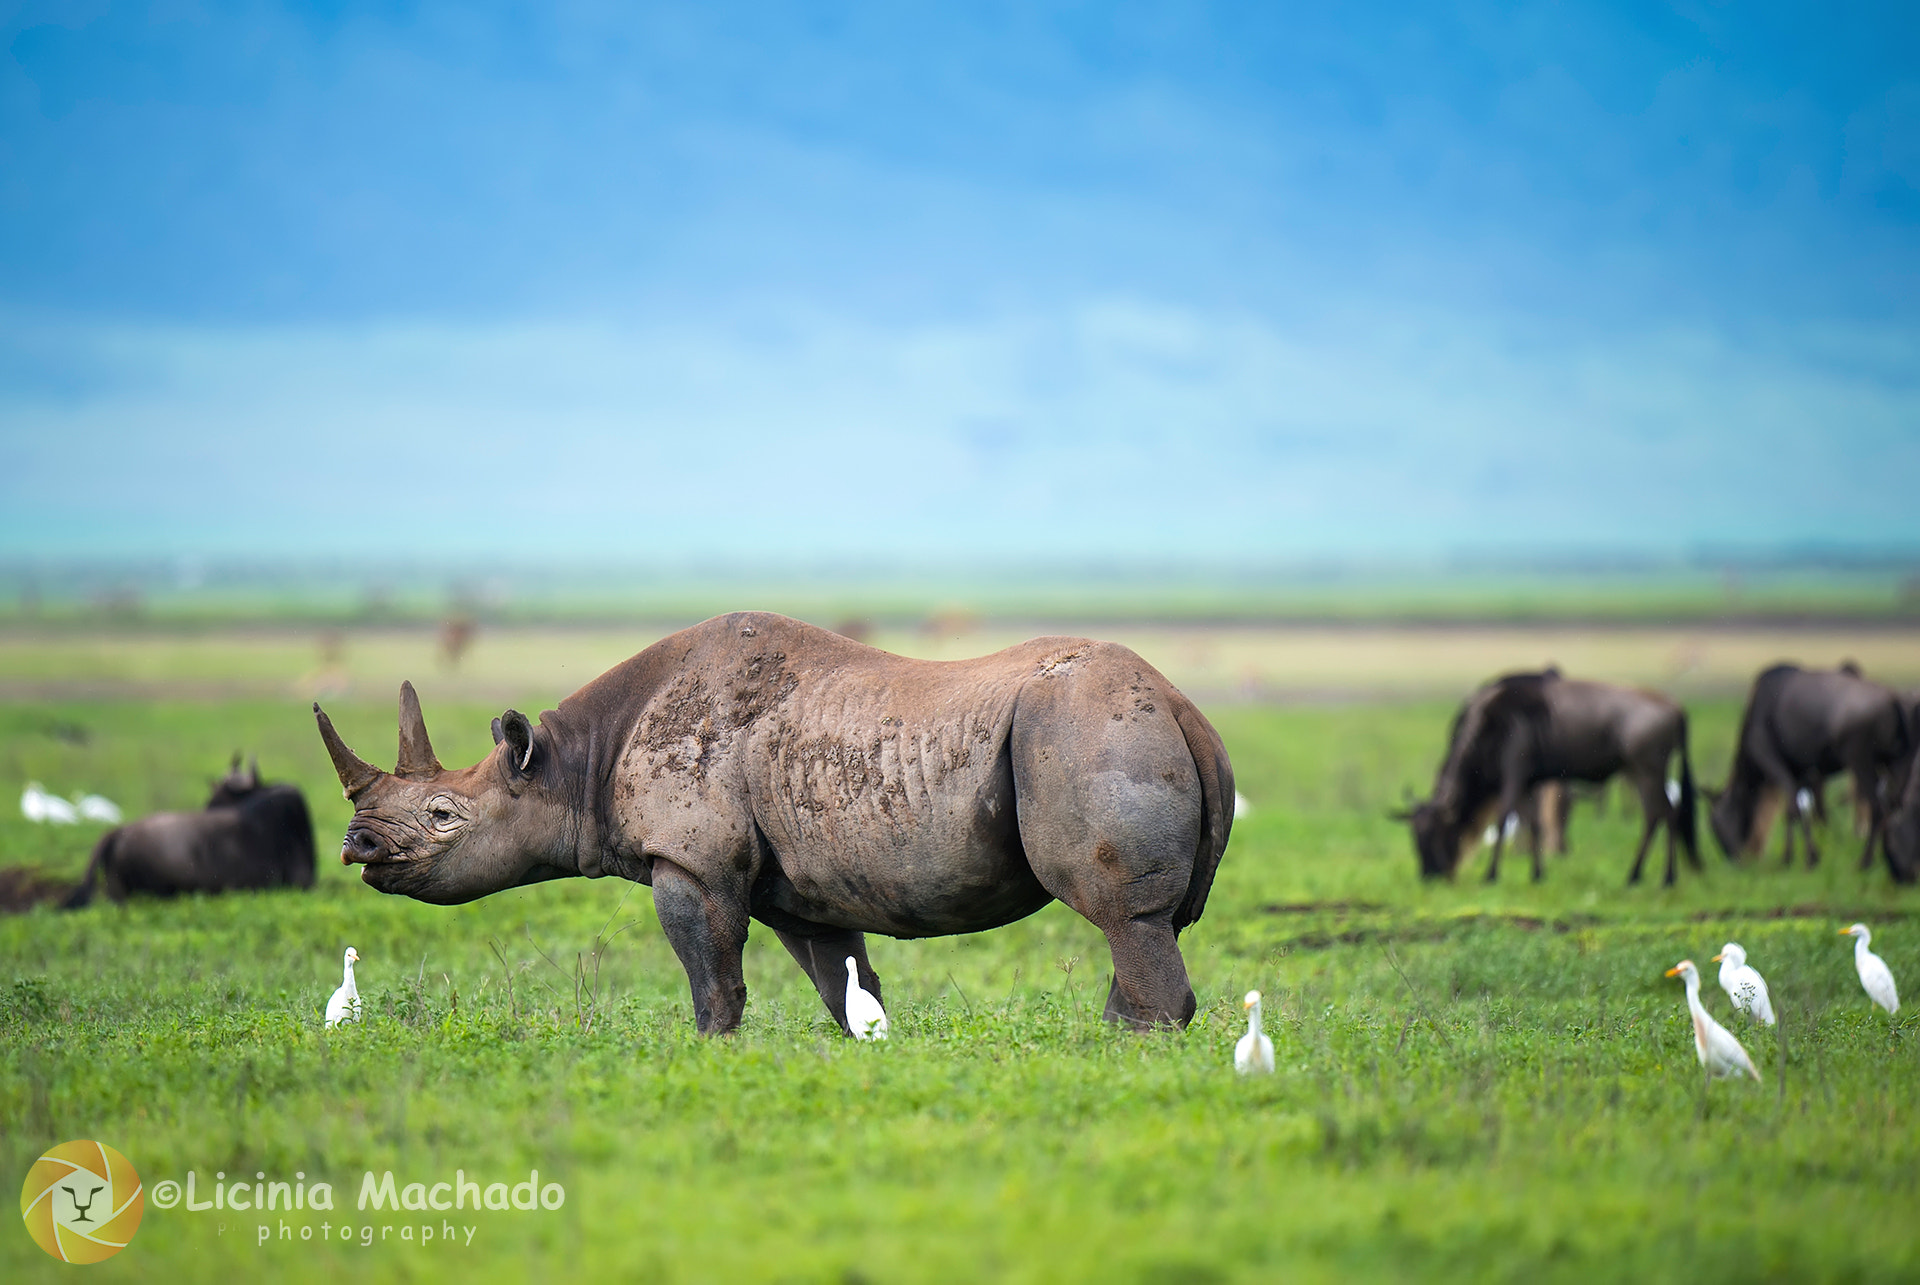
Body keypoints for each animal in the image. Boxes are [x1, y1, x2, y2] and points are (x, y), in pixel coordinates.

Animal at [314, 612, 1233, 1035]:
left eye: (442, 815)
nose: (357, 846)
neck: (571, 765)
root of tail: (1189, 707)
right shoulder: (805, 893)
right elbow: (845, 984)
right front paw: (872, 1045)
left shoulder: (689, 861)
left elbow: (711, 977)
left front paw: (708, 1053)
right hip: (1114, 723)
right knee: (1143, 924)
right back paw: (1112, 1040)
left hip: (1088, 726)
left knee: (1123, 913)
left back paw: (1130, 1051)